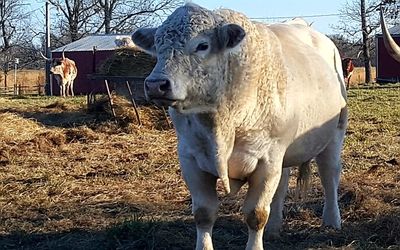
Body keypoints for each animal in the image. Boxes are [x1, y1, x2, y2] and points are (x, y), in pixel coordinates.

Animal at [132, 3, 346, 250]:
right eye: (157, 46)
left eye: (202, 45)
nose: (155, 84)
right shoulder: (190, 158)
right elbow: (203, 213)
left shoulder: (267, 160)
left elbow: (256, 214)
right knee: (282, 185)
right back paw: (274, 228)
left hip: (334, 132)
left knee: (329, 174)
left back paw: (332, 221)